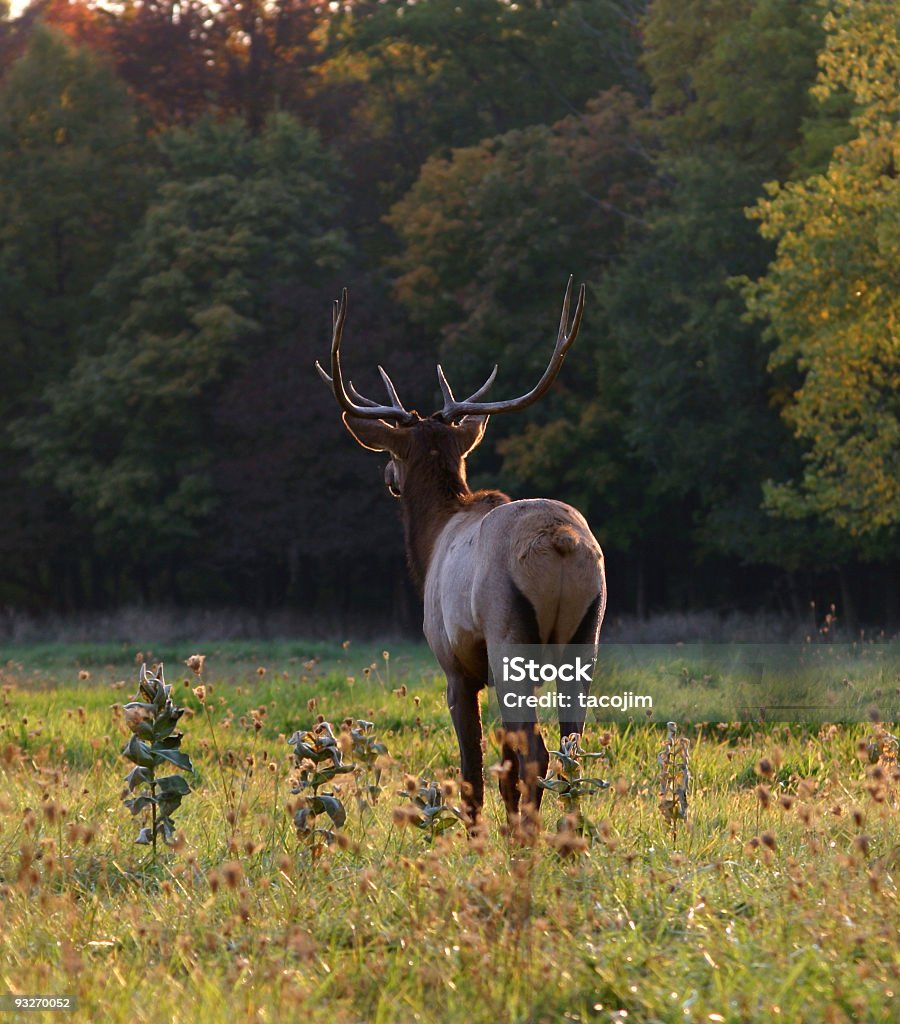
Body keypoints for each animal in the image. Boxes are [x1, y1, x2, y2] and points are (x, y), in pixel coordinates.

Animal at [317, 278, 606, 823]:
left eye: (393, 450)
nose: (388, 477)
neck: (431, 543)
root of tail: (561, 541)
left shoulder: (454, 664)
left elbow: (472, 766)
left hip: (509, 637)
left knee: (533, 751)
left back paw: (527, 835)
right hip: (586, 633)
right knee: (571, 749)